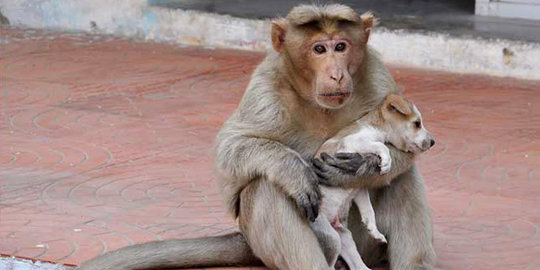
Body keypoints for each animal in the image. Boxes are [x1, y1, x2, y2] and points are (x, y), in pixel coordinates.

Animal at [312, 94, 434, 268]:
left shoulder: (358, 187)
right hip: (331, 237)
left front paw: (373, 230)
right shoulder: (352, 142)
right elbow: (381, 146)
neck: (375, 127)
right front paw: (386, 162)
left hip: (345, 238)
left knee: (358, 265)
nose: (433, 142)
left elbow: (368, 209)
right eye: (417, 123)